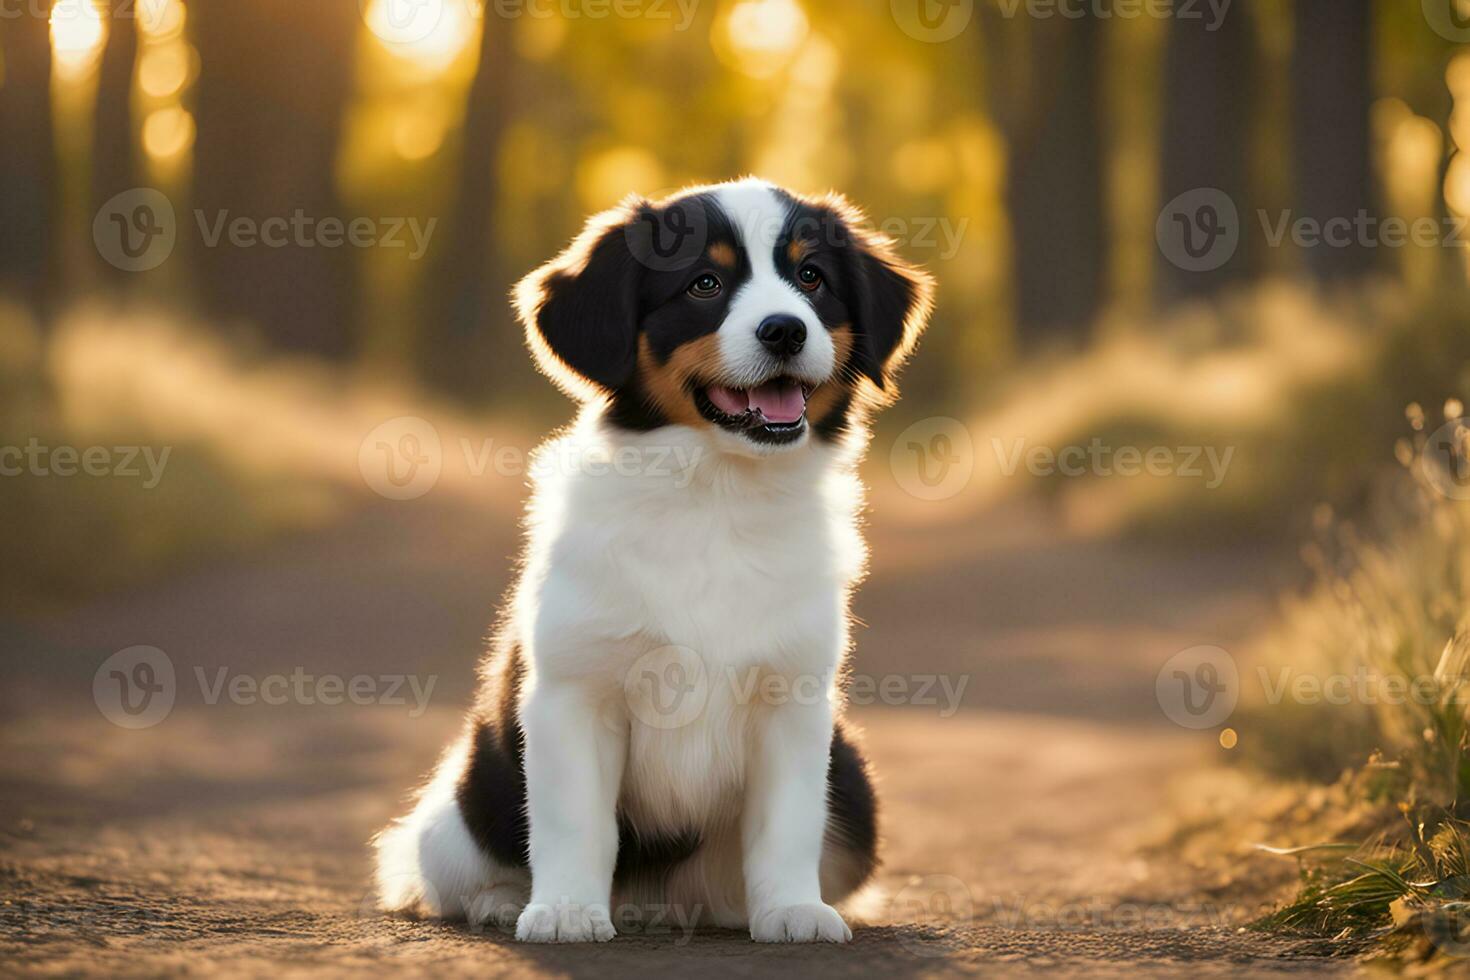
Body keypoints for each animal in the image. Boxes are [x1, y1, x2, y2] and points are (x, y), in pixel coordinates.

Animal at [373, 174, 934, 940]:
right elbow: (573, 820)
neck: (715, 493)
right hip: (457, 810)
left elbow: (786, 822)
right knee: (436, 871)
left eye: (812, 277)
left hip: (854, 784)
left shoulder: (792, 699)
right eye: (704, 283)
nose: (786, 329)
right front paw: (566, 912)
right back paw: (507, 901)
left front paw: (792, 910)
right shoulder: (575, 691)